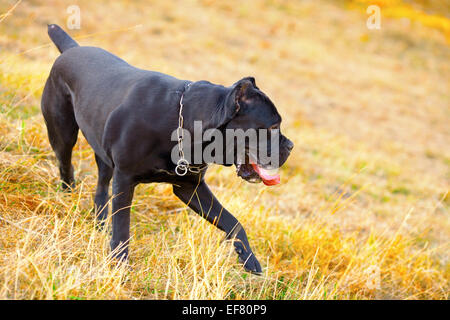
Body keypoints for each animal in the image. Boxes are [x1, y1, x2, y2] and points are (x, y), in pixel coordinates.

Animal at [42, 24, 294, 272]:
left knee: (101, 186)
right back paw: (68, 198)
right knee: (66, 166)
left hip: (103, 154)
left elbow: (231, 220)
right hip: (63, 134)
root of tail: (72, 49)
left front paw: (249, 257)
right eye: (273, 127)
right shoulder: (125, 179)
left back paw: (100, 222)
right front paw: (120, 263)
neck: (184, 124)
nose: (291, 146)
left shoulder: (191, 187)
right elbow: (122, 225)